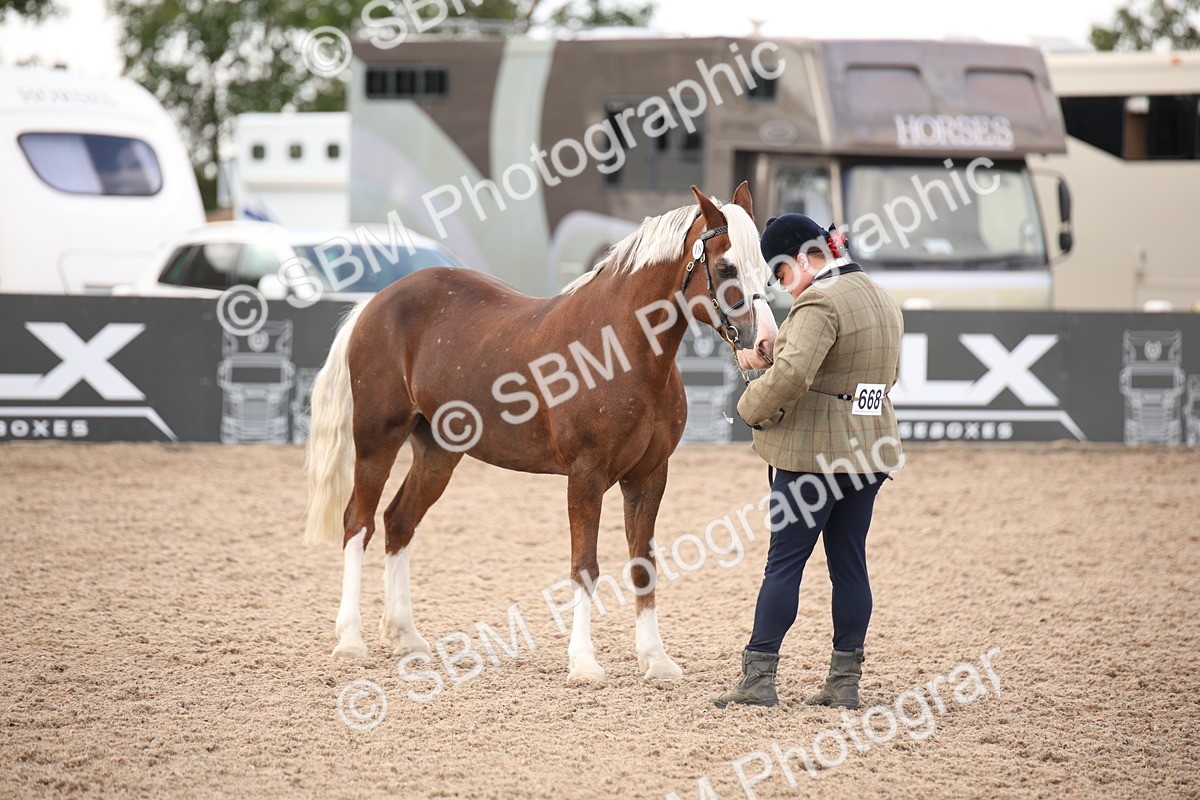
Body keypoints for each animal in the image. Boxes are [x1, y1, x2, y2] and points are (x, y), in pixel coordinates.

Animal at [303, 183, 778, 682]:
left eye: (766, 271)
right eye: (725, 266)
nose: (765, 345)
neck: (618, 350)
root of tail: (375, 303)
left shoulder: (649, 476)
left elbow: (643, 564)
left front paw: (656, 659)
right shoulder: (586, 476)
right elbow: (585, 566)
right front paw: (584, 662)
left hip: (437, 454)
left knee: (399, 522)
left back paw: (407, 638)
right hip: (377, 439)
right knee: (358, 522)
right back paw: (350, 640)